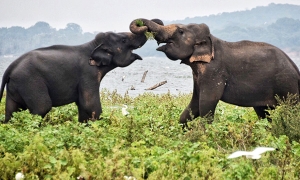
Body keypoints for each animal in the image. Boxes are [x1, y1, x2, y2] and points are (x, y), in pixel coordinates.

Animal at [0, 31, 148, 123]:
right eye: (123, 40)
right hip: (30, 82)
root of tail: (10, 67)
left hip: (16, 87)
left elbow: (83, 107)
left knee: (11, 112)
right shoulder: (88, 74)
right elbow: (90, 105)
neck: (92, 45)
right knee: (42, 107)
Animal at [129, 18, 300, 125]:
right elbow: (194, 104)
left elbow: (206, 103)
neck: (211, 39)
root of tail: (296, 69)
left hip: (287, 85)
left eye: (180, 31)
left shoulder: (214, 71)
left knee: (291, 110)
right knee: (264, 113)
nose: (143, 26)